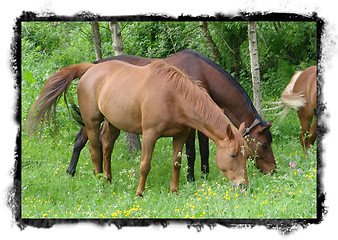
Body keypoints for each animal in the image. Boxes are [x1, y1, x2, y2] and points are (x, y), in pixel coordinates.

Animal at [25, 60, 248, 197]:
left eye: (246, 155)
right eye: (233, 155)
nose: (243, 186)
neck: (174, 97)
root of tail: (90, 69)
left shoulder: (180, 135)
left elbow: (176, 163)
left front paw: (174, 191)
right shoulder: (150, 135)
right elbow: (144, 165)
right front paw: (139, 193)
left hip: (112, 123)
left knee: (107, 147)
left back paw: (108, 179)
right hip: (92, 122)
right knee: (95, 152)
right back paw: (100, 184)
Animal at [64, 49, 276, 180]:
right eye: (264, 144)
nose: (273, 171)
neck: (202, 74)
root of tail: (93, 65)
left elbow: (204, 150)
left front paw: (204, 175)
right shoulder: (191, 125)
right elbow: (191, 152)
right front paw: (191, 178)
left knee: (92, 140)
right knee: (86, 140)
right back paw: (79, 172)